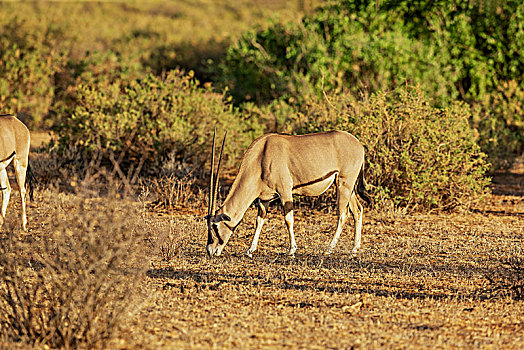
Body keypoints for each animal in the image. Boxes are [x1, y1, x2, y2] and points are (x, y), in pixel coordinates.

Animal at [207, 129, 370, 258]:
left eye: (214, 226)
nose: (210, 250)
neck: (261, 157)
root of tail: (359, 145)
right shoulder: (264, 198)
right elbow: (259, 221)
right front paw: (250, 250)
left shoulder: (285, 191)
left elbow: (288, 219)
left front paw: (292, 250)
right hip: (348, 187)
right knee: (357, 210)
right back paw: (354, 249)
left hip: (344, 184)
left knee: (343, 214)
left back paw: (328, 249)